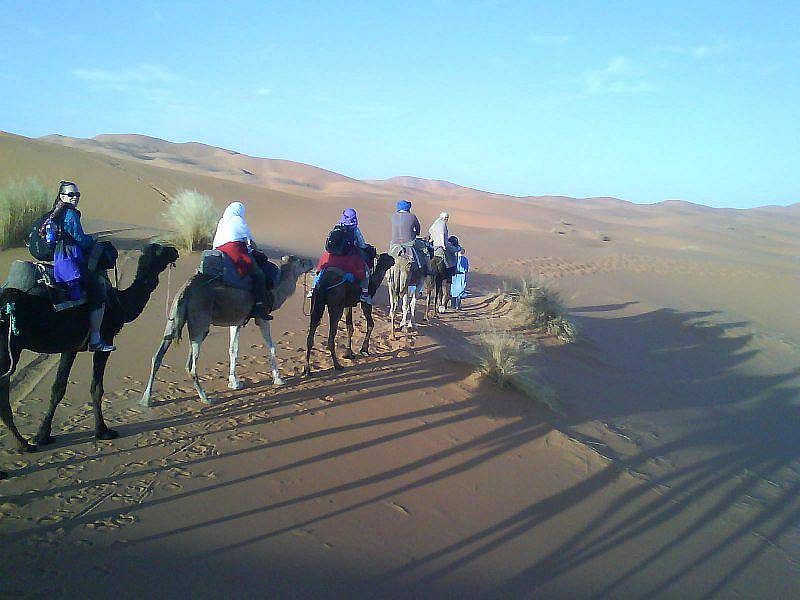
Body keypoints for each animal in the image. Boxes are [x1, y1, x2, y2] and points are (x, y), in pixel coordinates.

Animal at [0, 241, 178, 472]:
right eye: (161, 250)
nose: (175, 250)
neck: (120, 303)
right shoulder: (100, 341)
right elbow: (91, 388)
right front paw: (102, 431)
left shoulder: (70, 346)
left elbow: (60, 388)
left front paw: (43, 435)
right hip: (8, 349)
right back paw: (24, 444)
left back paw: (23, 444)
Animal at [141, 255, 312, 406]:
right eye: (301, 261)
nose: (311, 264)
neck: (274, 290)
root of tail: (186, 290)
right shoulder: (262, 318)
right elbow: (271, 347)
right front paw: (278, 379)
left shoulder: (236, 321)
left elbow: (233, 349)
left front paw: (234, 382)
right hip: (200, 324)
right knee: (191, 366)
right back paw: (206, 398)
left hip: (173, 318)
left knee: (158, 356)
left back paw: (146, 400)